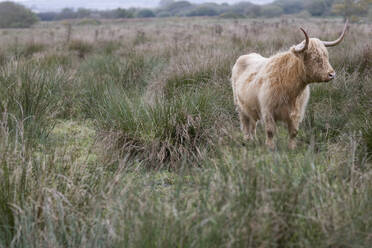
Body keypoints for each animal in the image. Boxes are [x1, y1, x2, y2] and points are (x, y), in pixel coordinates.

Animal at [232, 20, 348, 149]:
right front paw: (270, 147)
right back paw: (248, 140)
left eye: (326, 56)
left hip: (251, 107)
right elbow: (270, 131)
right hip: (240, 106)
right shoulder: (267, 110)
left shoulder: (297, 113)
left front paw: (292, 148)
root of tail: (245, 56)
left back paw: (253, 140)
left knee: (252, 123)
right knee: (245, 123)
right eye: (314, 57)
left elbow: (294, 132)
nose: (331, 74)